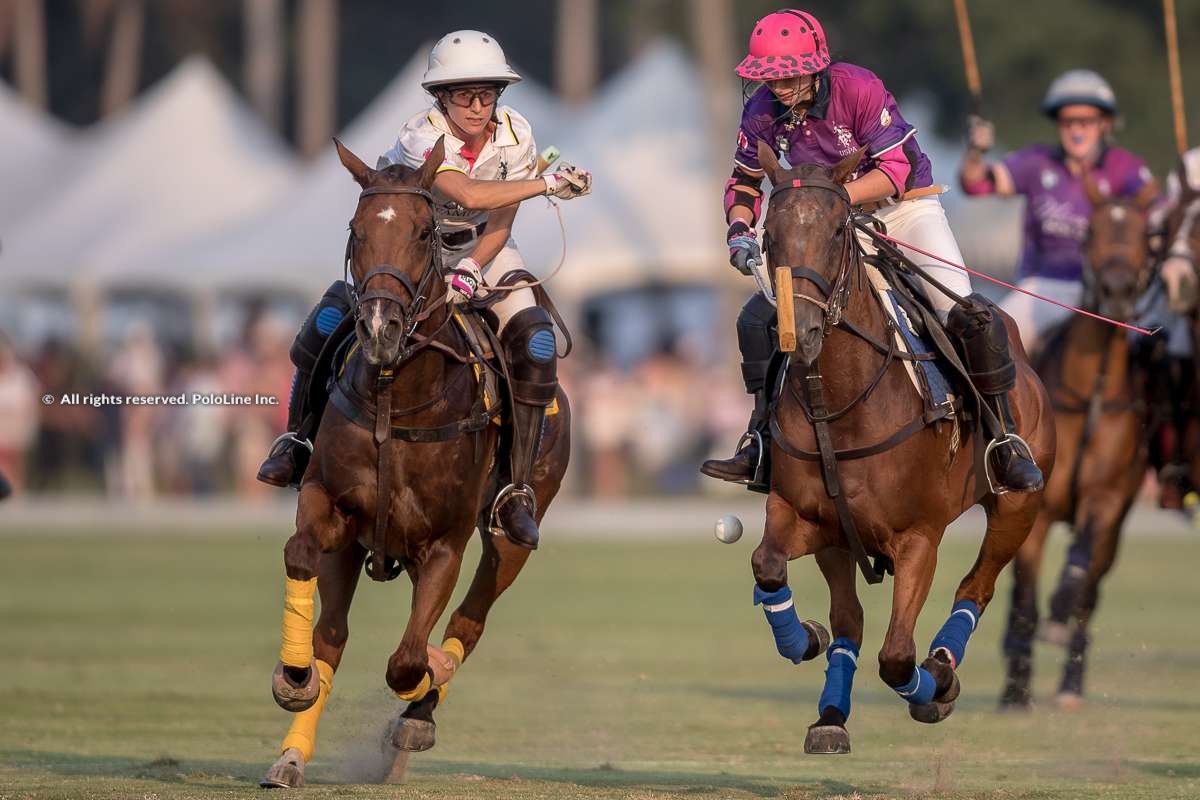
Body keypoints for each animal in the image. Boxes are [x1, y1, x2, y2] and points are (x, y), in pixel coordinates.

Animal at [262, 139, 571, 786]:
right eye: (356, 230)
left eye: (426, 230)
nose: (380, 328)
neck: (398, 397)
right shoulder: (331, 507)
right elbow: (301, 559)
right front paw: (293, 678)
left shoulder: (444, 544)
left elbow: (407, 660)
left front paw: (423, 689)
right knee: (333, 634)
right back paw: (292, 753)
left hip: (511, 533)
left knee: (468, 622)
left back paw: (419, 712)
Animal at [753, 143, 1056, 758]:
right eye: (768, 234)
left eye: (837, 230)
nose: (805, 330)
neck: (840, 402)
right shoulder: (810, 518)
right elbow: (768, 566)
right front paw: (804, 639)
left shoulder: (918, 537)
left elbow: (896, 657)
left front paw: (934, 688)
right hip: (840, 542)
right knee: (849, 619)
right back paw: (830, 715)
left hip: (1019, 505)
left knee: (976, 587)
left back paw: (941, 666)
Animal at [998, 176, 1156, 714]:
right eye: (1089, 230)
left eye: (1148, 235)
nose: (1117, 292)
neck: (1092, 393)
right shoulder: (1038, 504)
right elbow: (1024, 597)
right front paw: (1016, 688)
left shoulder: (1106, 500)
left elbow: (1080, 569)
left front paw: (1060, 615)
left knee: (1092, 589)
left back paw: (1070, 680)